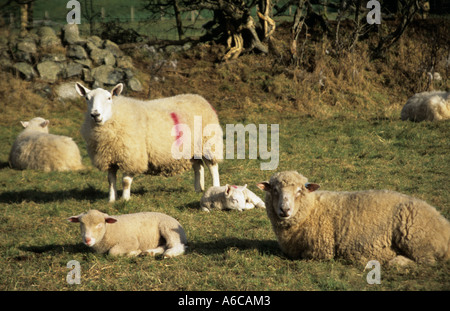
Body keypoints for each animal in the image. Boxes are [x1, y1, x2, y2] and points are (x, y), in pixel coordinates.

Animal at [75, 83, 223, 204]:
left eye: (109, 98)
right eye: (87, 98)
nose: (95, 115)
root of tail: (199, 98)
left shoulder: (133, 156)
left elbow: (125, 181)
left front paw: (125, 199)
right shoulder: (110, 157)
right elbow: (111, 180)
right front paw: (111, 200)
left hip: (208, 142)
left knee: (212, 166)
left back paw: (214, 188)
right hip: (192, 148)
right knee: (198, 166)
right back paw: (198, 189)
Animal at [256, 171, 450, 266]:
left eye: (299, 191)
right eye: (274, 190)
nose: (284, 210)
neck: (311, 210)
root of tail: (444, 224)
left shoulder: (319, 252)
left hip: (417, 238)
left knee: (428, 261)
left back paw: (397, 261)